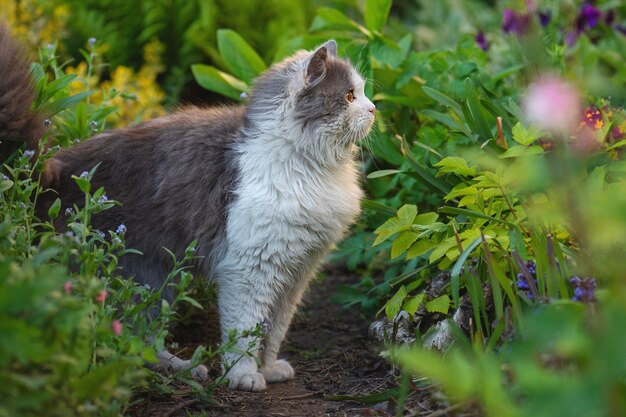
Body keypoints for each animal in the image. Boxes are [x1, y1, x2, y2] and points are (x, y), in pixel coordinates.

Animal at [0, 25, 372, 390]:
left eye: (363, 93)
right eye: (349, 96)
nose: (373, 110)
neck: (308, 164)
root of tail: (48, 171)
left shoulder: (296, 272)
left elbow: (274, 329)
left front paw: (268, 369)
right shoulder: (250, 267)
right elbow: (245, 329)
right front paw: (242, 375)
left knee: (138, 339)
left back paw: (184, 368)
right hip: (140, 277)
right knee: (128, 336)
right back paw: (186, 369)